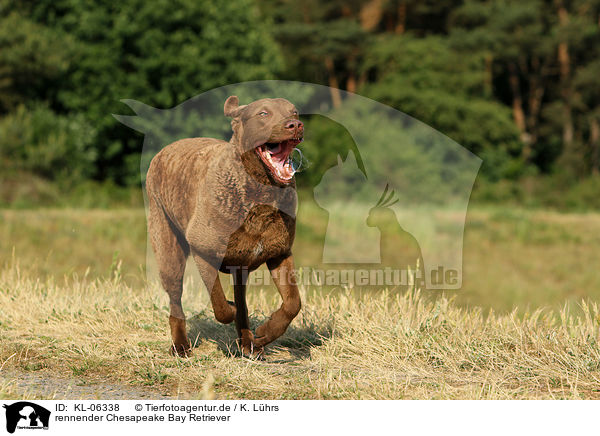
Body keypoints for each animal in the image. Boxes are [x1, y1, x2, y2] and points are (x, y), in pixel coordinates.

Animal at [146, 97, 304, 360]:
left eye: (295, 112)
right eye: (263, 113)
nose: (295, 125)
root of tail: (164, 150)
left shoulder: (280, 252)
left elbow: (293, 302)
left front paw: (265, 333)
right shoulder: (203, 250)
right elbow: (219, 303)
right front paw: (230, 309)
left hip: (242, 266)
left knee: (243, 301)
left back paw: (249, 344)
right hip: (167, 243)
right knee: (175, 298)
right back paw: (181, 346)